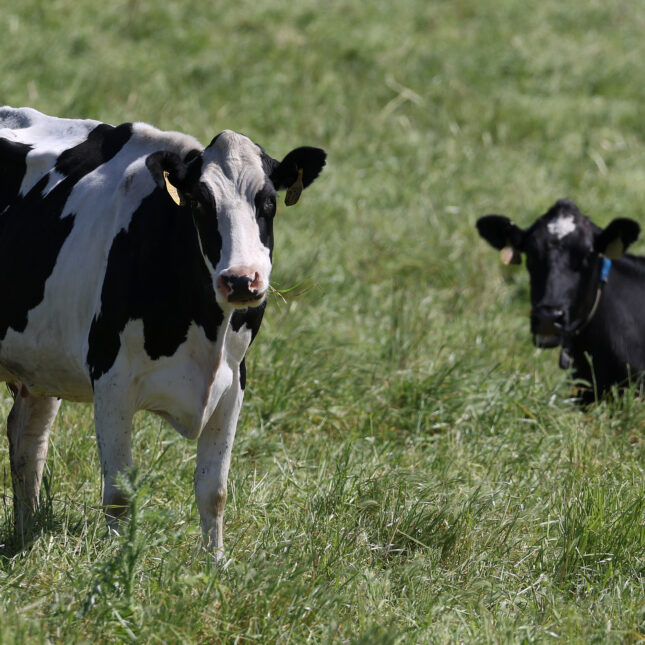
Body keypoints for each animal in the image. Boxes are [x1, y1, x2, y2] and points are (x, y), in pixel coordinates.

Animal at [0, 107, 324, 552]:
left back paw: (25, 535)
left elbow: (213, 490)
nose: (241, 280)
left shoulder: (233, 383)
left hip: (41, 366)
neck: (205, 331)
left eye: (268, 202)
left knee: (27, 441)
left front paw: (215, 563)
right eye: (200, 202)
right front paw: (119, 563)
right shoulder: (111, 381)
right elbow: (119, 495)